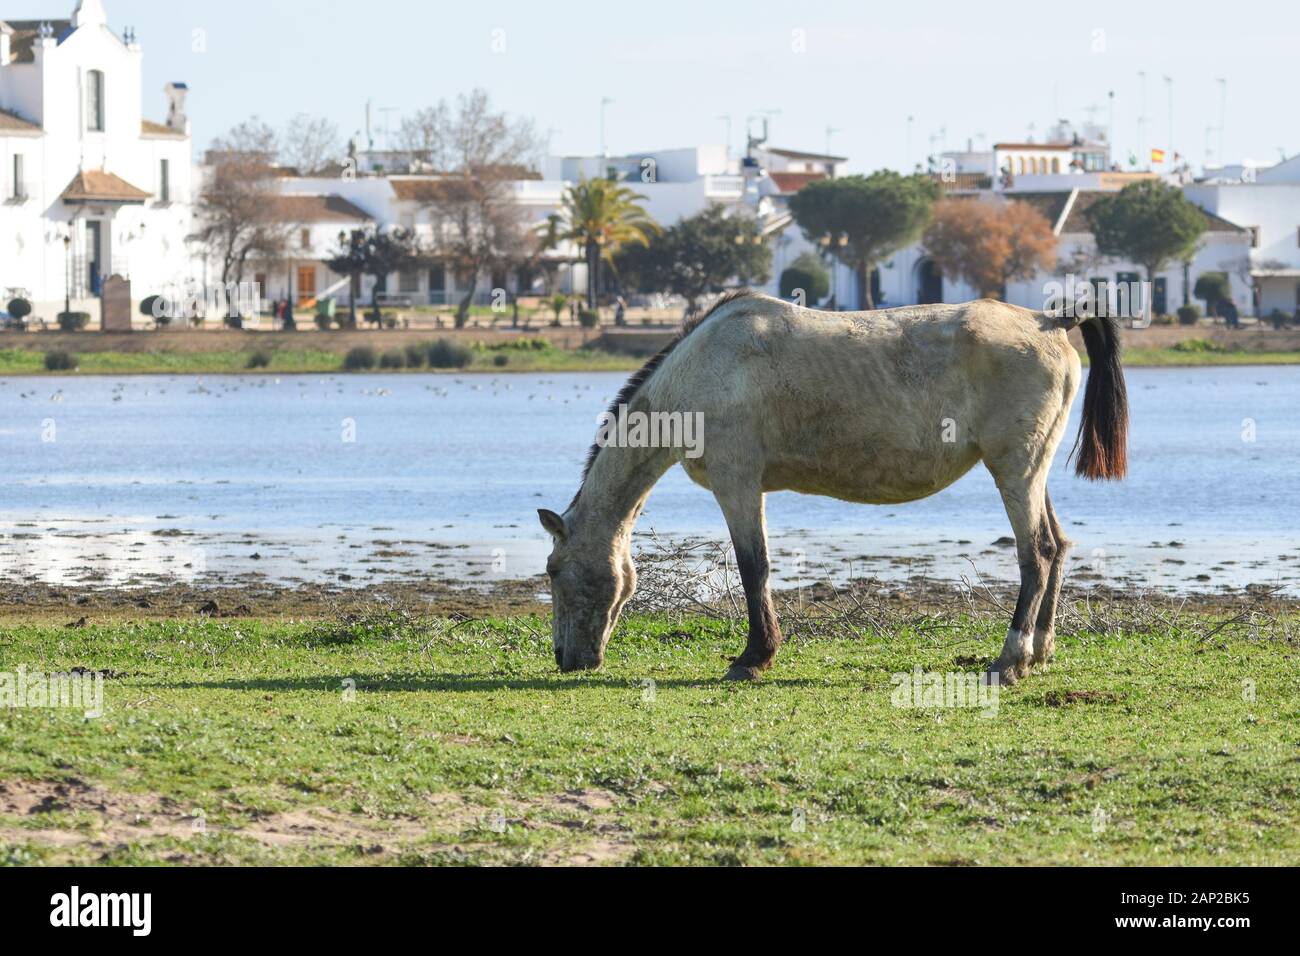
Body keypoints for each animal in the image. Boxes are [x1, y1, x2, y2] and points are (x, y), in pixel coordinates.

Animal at [538, 291, 1128, 685]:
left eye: (553, 571)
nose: (566, 658)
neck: (704, 369)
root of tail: (1049, 320)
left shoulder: (737, 483)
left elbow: (754, 567)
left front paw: (753, 657)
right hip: (1031, 472)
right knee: (1057, 547)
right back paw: (1041, 652)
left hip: (1014, 470)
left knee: (1038, 553)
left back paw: (1010, 660)